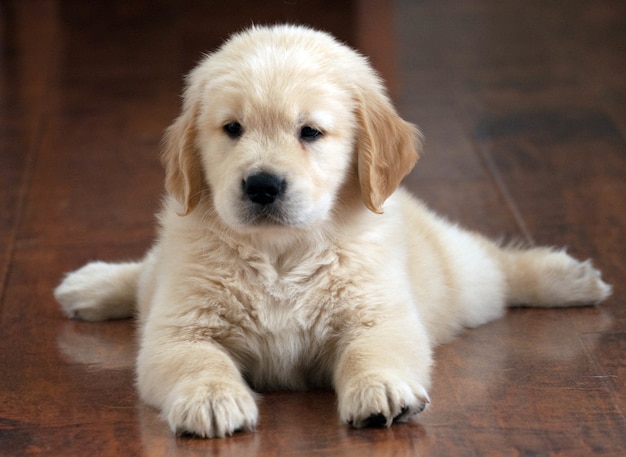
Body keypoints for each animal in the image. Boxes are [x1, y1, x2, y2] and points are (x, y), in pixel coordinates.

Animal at [53, 25, 608, 438]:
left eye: (311, 132)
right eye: (232, 129)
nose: (262, 185)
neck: (280, 255)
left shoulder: (379, 313)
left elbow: (371, 350)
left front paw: (380, 389)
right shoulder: (178, 327)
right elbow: (199, 361)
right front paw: (212, 400)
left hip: (462, 282)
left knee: (495, 262)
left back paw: (570, 278)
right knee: (144, 273)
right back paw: (90, 286)